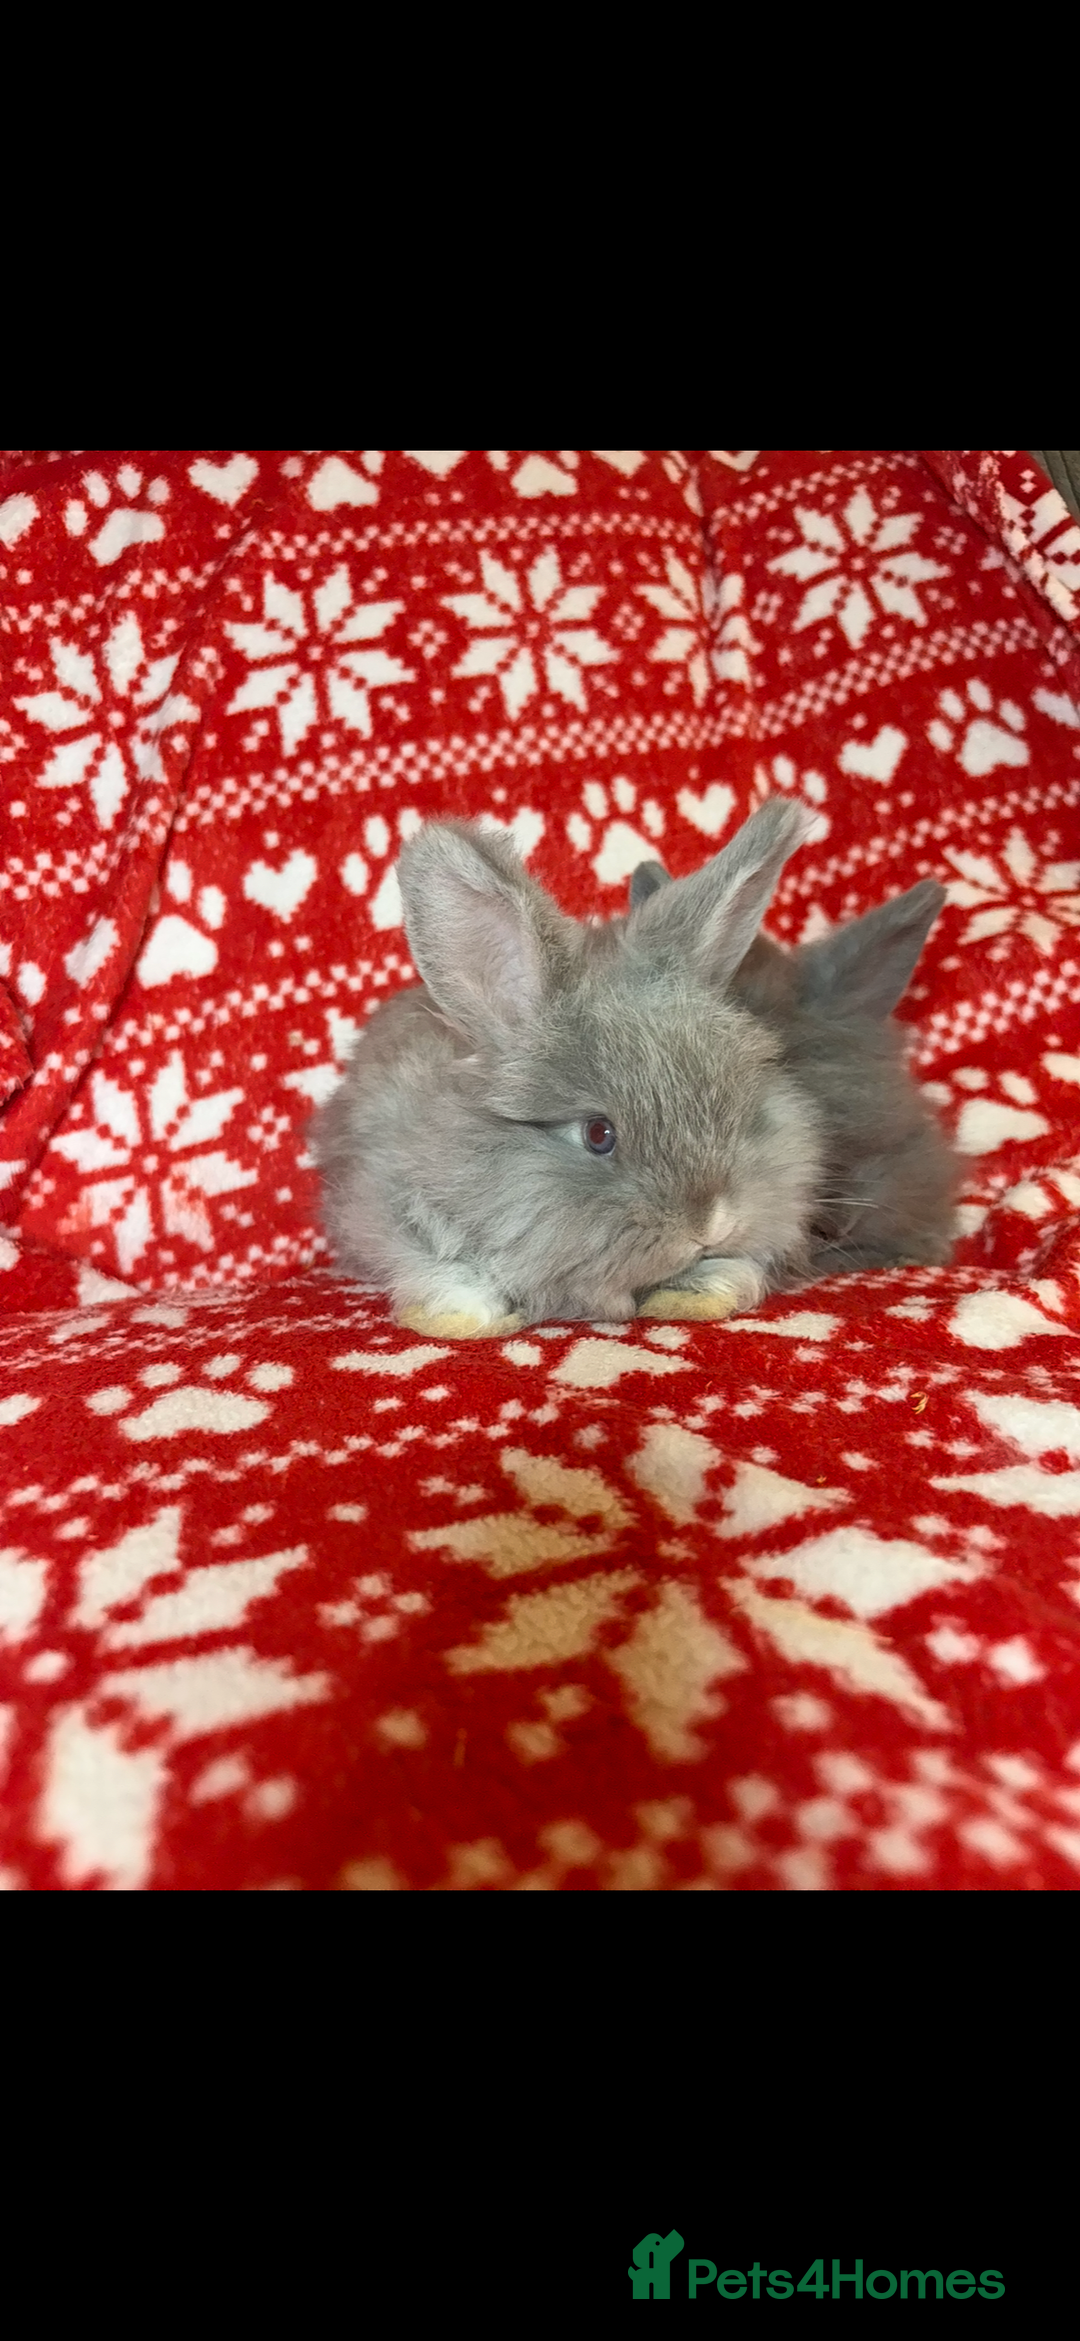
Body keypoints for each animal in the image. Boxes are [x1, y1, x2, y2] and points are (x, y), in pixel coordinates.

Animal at [312, 798, 958, 1337]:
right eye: (599, 1135)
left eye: (740, 1112)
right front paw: (463, 1318)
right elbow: (439, 1269)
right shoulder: (387, 1202)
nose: (711, 1222)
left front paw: (698, 1296)